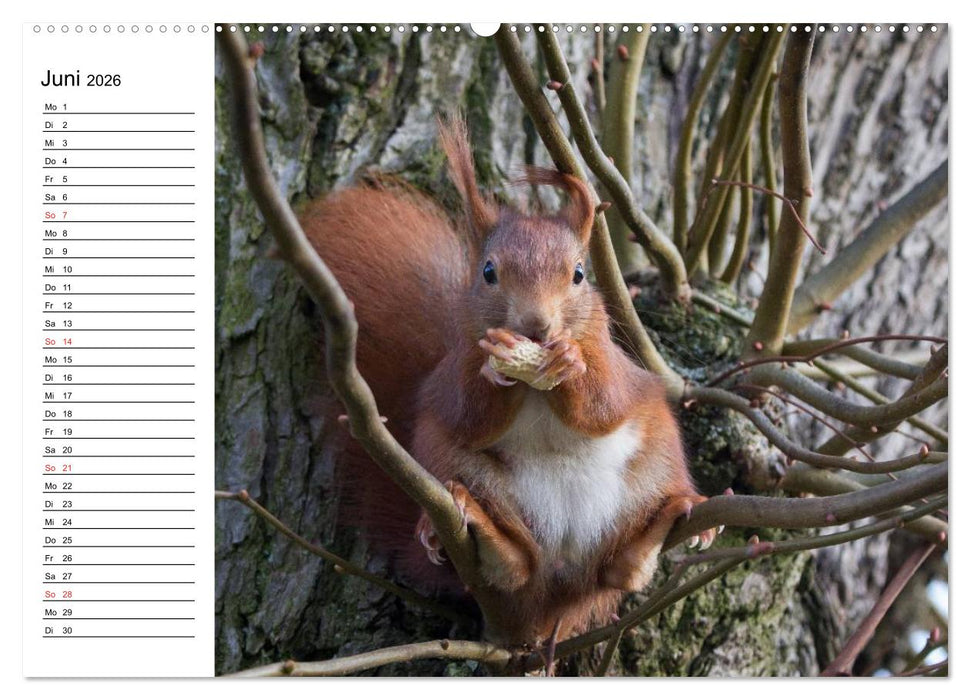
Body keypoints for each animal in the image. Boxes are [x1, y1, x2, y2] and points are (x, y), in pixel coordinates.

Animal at [298, 119, 716, 647]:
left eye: (580, 273)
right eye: (488, 272)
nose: (537, 326)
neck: (535, 387)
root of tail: (549, 606)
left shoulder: (617, 364)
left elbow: (605, 403)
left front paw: (572, 362)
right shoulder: (454, 373)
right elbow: (467, 412)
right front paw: (496, 371)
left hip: (655, 461)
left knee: (622, 573)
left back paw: (664, 522)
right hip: (453, 463)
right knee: (515, 567)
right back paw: (481, 530)